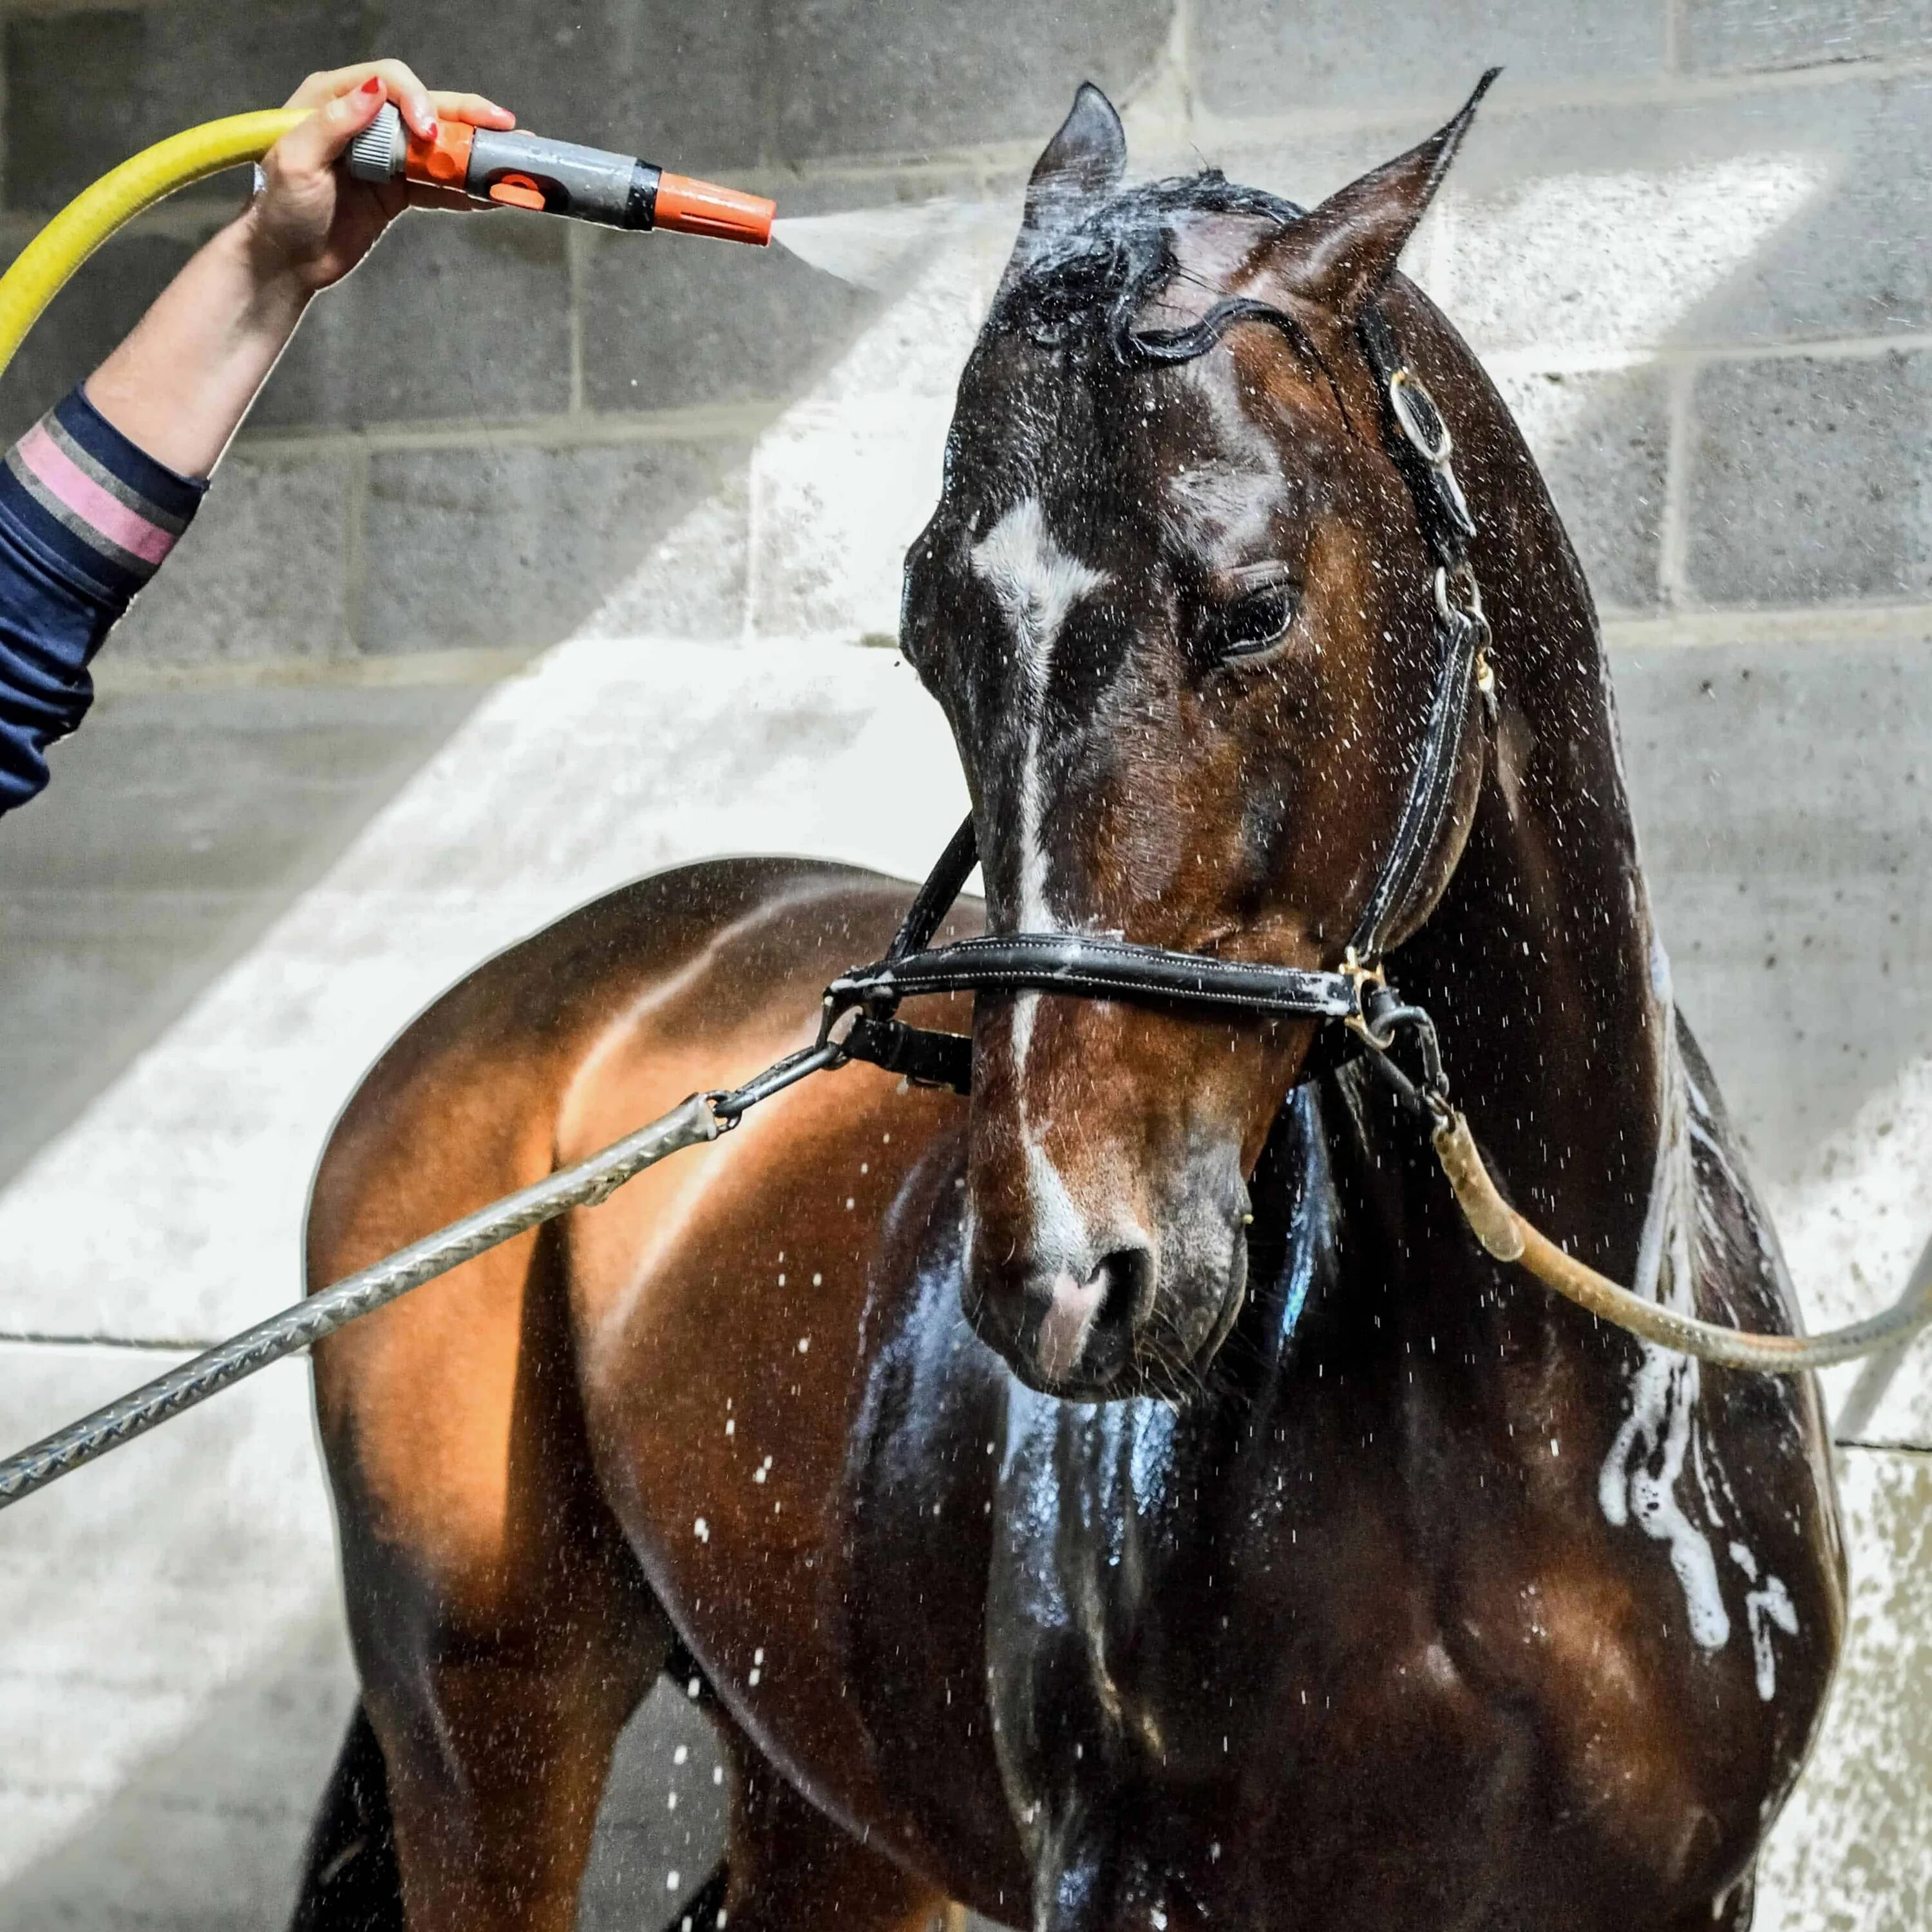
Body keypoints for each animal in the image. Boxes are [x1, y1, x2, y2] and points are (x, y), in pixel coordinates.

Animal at [286, 75, 1839, 1932]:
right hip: (491, 1719)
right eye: (931, 632)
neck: (1538, 1427)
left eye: (1252, 606)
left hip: (822, 1798)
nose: (1061, 1277)